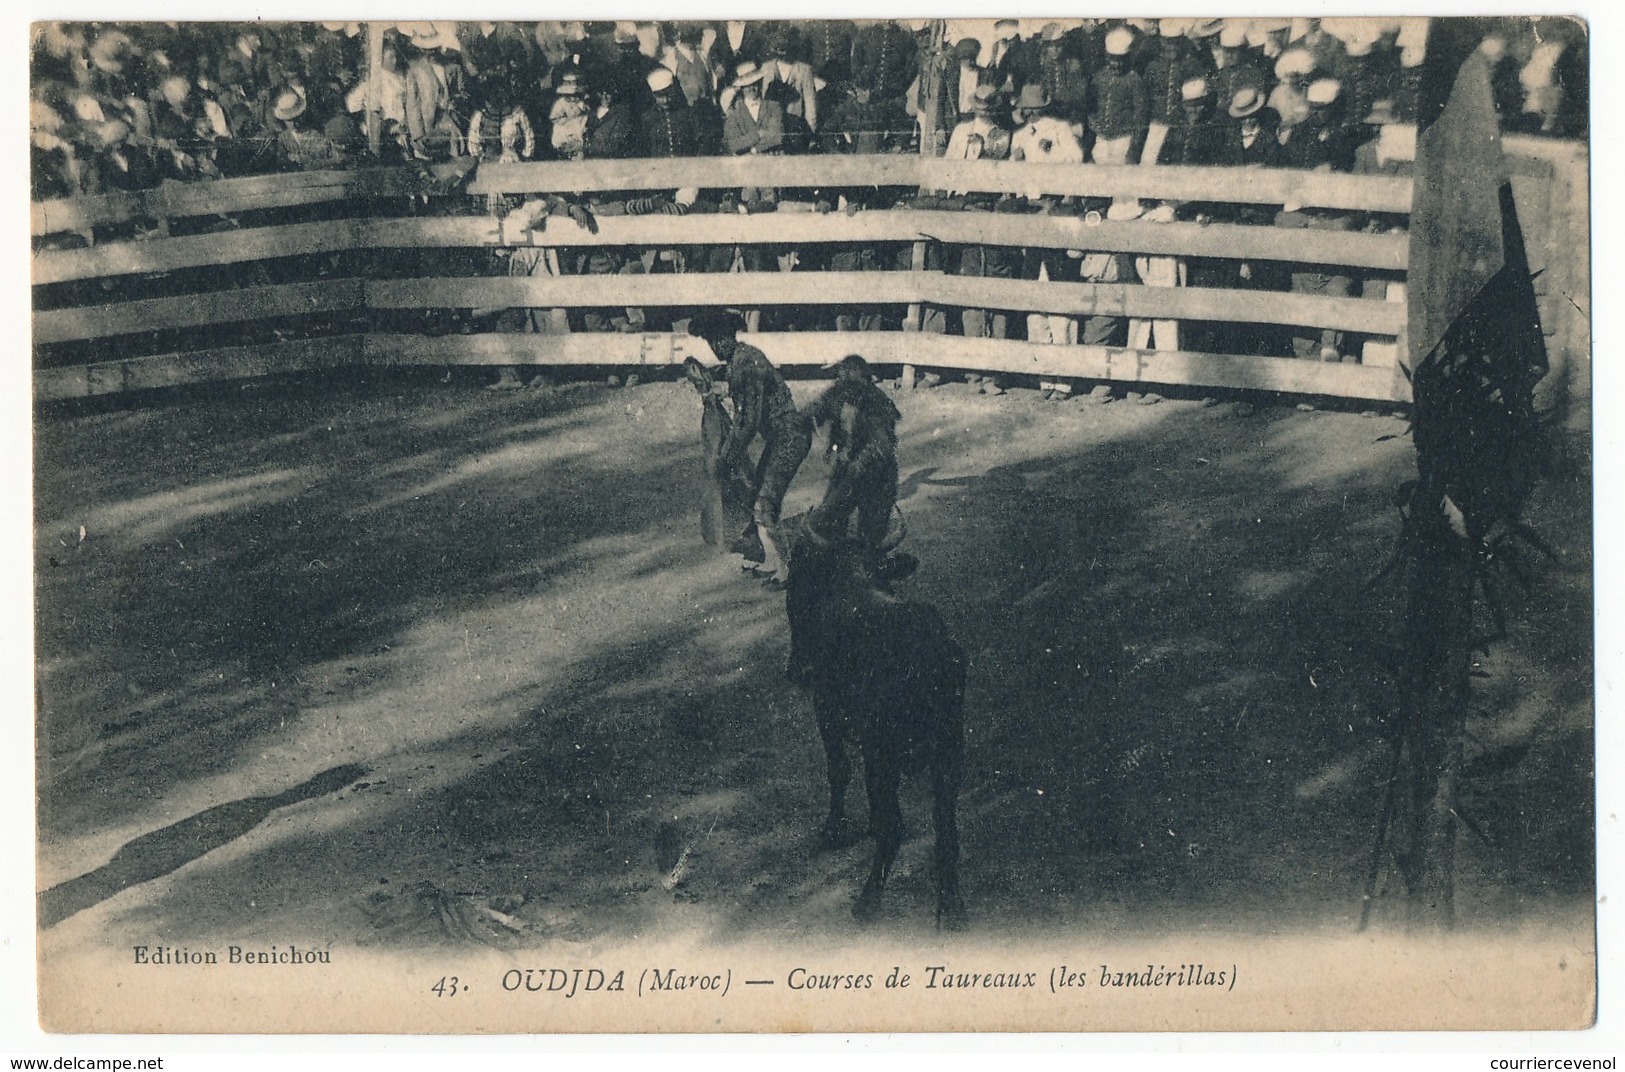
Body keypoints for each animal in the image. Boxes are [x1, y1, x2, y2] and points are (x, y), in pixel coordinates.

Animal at [776, 523, 955, 922]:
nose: (796, 670)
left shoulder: (826, 708)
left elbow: (839, 769)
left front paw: (833, 829)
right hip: (946, 747)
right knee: (945, 822)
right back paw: (951, 909)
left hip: (884, 748)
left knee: (896, 825)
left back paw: (868, 899)